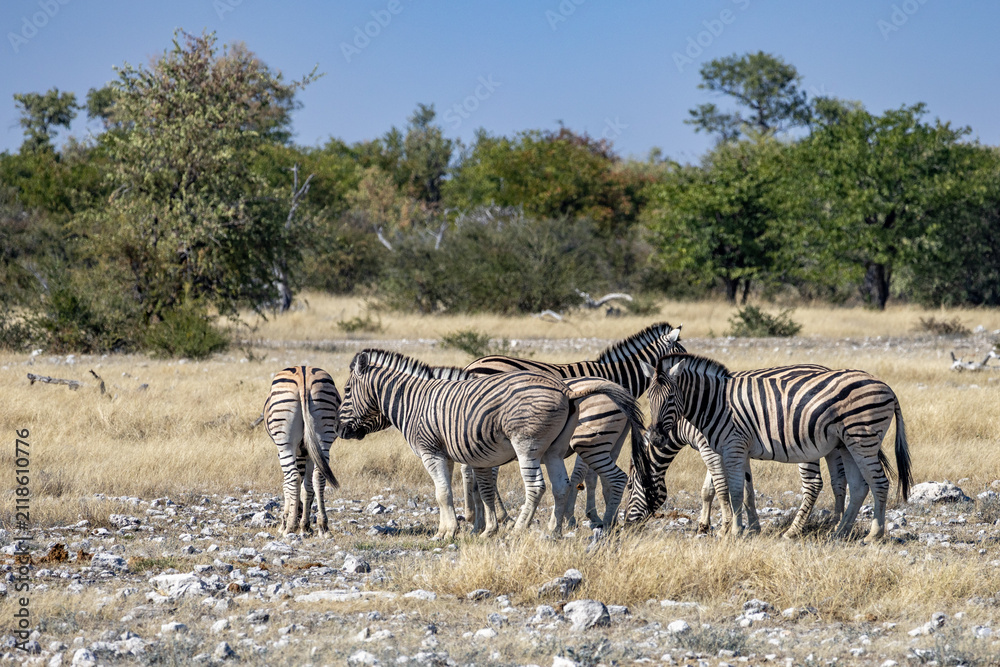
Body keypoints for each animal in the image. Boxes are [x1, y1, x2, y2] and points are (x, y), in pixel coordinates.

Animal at [262, 366, 340, 537]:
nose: (298, 522)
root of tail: (303, 374)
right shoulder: (309, 453)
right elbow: (308, 487)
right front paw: (305, 525)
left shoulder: (283, 452)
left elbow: (287, 486)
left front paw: (286, 522)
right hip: (324, 434)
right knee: (319, 476)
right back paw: (323, 526)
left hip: (285, 442)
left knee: (293, 478)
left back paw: (290, 527)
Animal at [337, 349, 645, 539]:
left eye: (347, 390)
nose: (339, 430)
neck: (414, 401)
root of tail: (568, 390)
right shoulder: (448, 454)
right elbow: (451, 492)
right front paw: (458, 528)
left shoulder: (430, 452)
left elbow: (443, 493)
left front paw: (447, 532)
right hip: (558, 449)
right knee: (564, 485)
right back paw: (556, 530)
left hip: (533, 444)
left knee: (540, 486)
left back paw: (521, 530)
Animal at [462, 323, 684, 527]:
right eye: (681, 357)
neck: (617, 377)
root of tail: (471, 366)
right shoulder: (587, 434)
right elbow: (584, 475)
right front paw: (579, 517)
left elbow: (592, 476)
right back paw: (501, 516)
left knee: (469, 468)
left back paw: (473, 515)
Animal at [626, 354, 912, 542]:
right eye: (649, 398)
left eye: (671, 398)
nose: (656, 437)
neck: (712, 404)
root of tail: (887, 387)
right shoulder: (735, 449)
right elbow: (743, 490)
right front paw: (747, 529)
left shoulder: (723, 448)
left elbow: (728, 490)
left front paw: (730, 531)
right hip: (845, 444)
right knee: (857, 485)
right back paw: (838, 531)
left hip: (858, 439)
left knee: (873, 483)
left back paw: (870, 535)